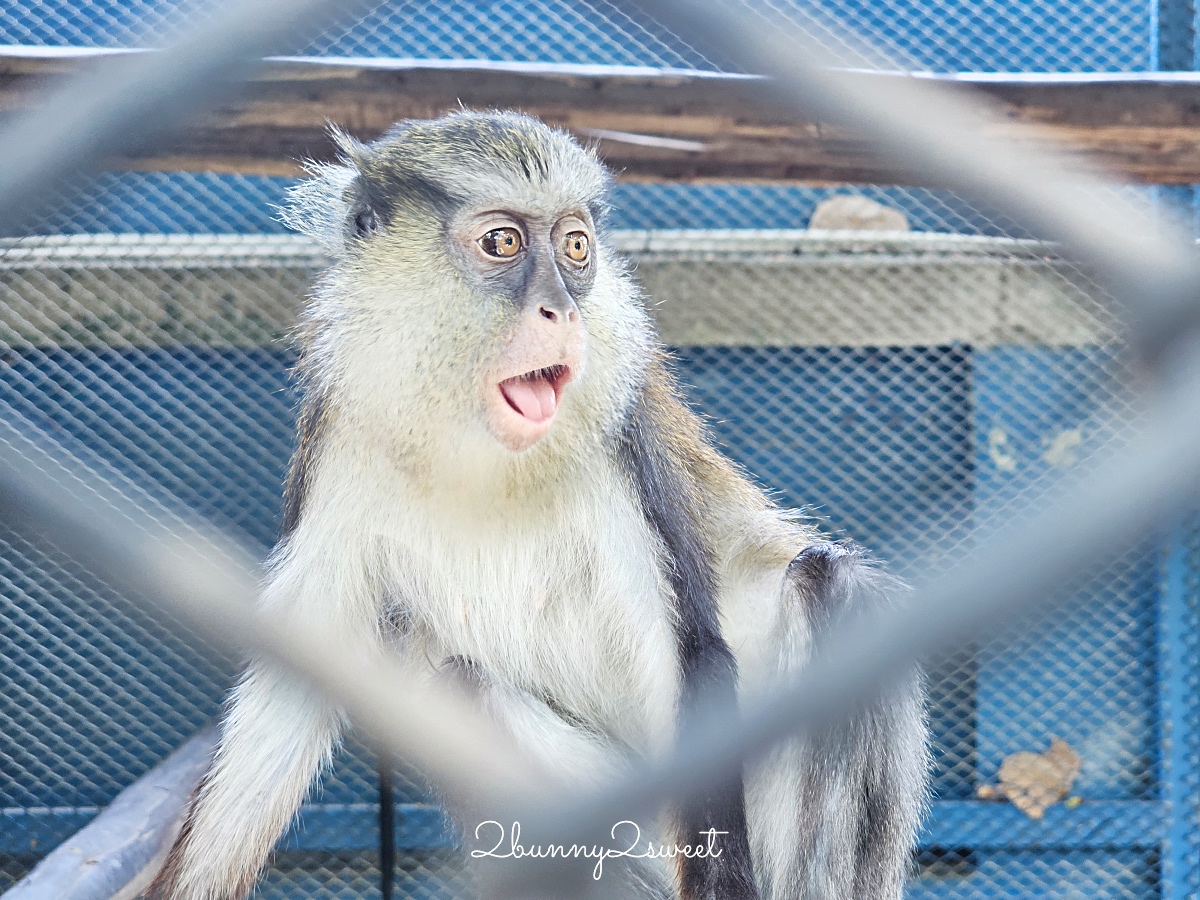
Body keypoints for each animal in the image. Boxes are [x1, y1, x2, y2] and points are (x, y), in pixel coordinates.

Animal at [142, 112, 926, 900]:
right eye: (504, 243)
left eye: (576, 247)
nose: (563, 309)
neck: (477, 449)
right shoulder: (336, 444)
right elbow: (284, 704)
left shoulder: (622, 451)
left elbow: (688, 659)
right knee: (463, 686)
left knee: (835, 586)